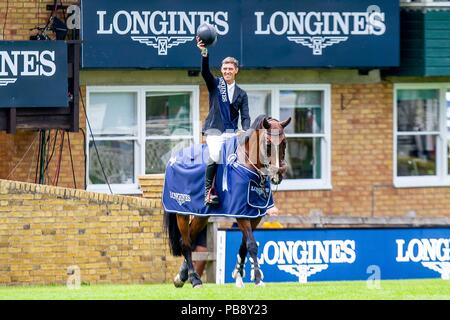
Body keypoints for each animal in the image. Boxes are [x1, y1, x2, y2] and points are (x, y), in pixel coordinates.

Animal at [163, 114, 290, 288]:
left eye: (284, 142)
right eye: (269, 144)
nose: (278, 174)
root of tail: (174, 158)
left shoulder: (255, 215)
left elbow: (244, 245)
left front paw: (239, 274)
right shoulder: (241, 214)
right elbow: (251, 244)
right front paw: (257, 278)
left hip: (202, 216)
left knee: (190, 238)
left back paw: (181, 277)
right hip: (181, 213)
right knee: (186, 243)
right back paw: (195, 279)